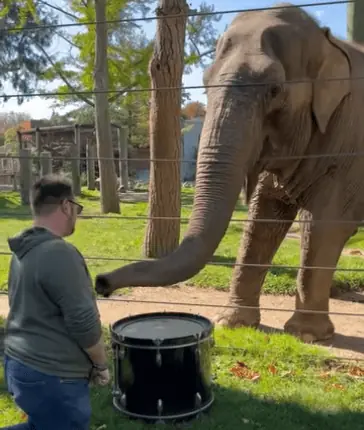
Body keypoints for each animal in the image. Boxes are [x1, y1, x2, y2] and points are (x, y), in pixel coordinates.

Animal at [94, 4, 364, 342]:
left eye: (275, 90)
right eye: (205, 82)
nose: (100, 282)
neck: (330, 42)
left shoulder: (350, 143)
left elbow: (324, 225)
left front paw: (306, 335)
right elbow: (262, 221)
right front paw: (232, 323)